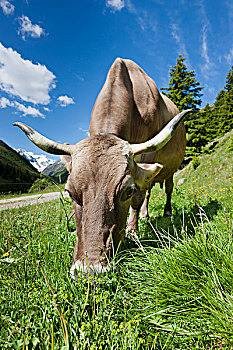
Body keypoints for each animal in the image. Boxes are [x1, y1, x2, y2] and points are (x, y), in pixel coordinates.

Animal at [13, 58, 191, 276]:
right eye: (70, 193)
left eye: (127, 191)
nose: (90, 270)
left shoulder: (147, 158)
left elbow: (138, 196)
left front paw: (133, 232)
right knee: (149, 191)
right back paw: (145, 215)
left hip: (171, 169)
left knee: (167, 189)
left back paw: (166, 212)